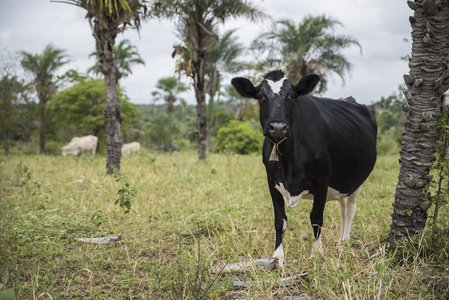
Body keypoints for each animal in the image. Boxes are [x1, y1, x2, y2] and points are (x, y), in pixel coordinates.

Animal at [231, 71, 374, 268]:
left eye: (292, 96)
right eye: (260, 96)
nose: (277, 127)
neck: (288, 161)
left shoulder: (322, 180)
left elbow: (316, 218)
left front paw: (317, 253)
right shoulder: (272, 181)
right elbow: (280, 220)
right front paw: (278, 257)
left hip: (356, 179)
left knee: (350, 209)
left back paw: (343, 243)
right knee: (343, 208)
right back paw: (341, 242)